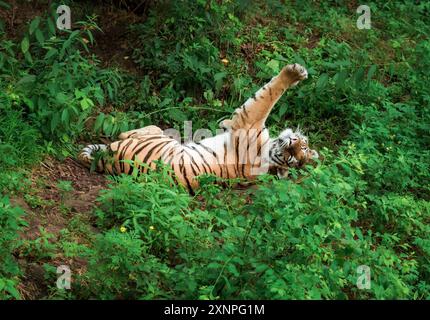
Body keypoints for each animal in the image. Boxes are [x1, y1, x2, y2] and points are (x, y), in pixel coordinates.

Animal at [79, 62, 318, 192]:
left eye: (292, 156)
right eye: (301, 149)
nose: (292, 140)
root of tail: (109, 161)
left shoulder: (249, 121)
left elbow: (270, 94)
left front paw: (294, 73)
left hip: (158, 139)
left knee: (132, 132)